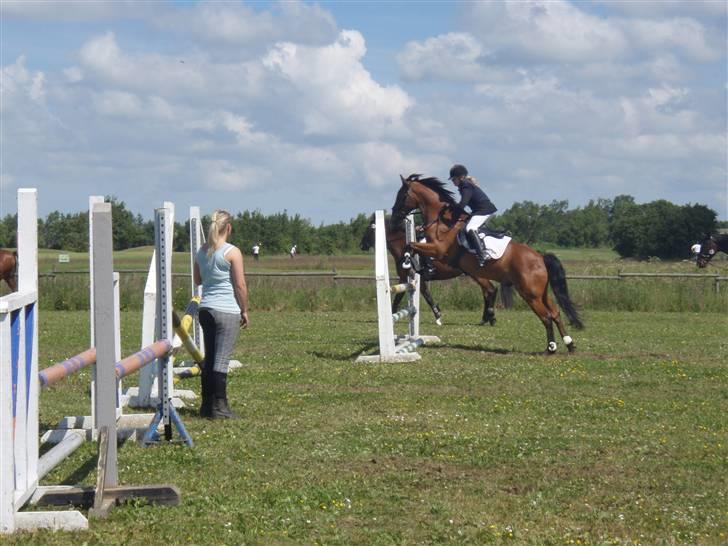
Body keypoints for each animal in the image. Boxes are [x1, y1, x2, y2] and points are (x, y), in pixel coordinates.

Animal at [358, 212, 500, 324]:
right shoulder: (414, 280)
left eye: (370, 228)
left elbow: (403, 298)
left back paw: (490, 317)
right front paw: (438, 314)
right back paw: (486, 318)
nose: (362, 245)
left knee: (490, 290)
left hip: (477, 275)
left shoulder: (407, 278)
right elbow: (426, 295)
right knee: (487, 292)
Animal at [390, 173, 584, 352]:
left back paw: (550, 348)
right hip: (540, 292)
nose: (393, 217)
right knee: (556, 313)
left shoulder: (437, 250)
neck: (441, 221)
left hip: (530, 294)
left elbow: (411, 246)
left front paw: (410, 263)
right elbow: (412, 247)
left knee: (546, 317)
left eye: (402, 195)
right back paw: (570, 344)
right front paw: (414, 263)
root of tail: (540, 258)